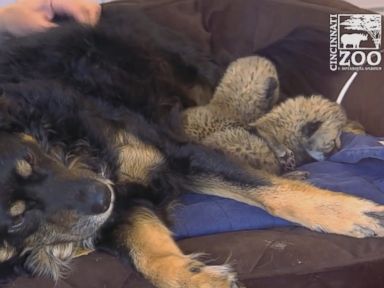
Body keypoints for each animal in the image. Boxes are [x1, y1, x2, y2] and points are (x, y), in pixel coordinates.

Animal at [0, 4, 384, 288]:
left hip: (203, 75)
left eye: (31, 157)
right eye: (17, 220)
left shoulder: (176, 154)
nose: (103, 196)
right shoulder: (114, 211)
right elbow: (147, 254)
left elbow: (268, 190)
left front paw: (348, 213)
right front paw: (195, 276)